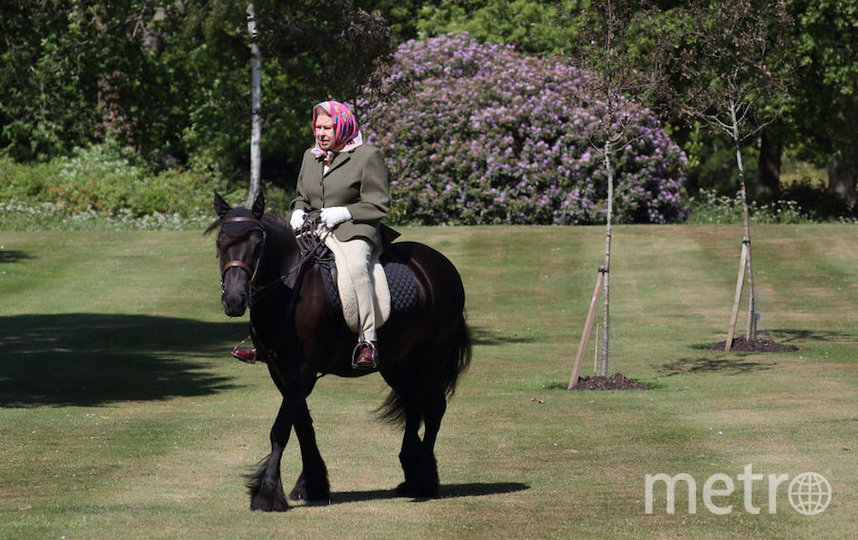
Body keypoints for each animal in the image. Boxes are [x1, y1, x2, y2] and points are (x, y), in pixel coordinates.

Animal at [210, 193, 472, 510]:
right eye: (220, 243)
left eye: (258, 245)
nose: (235, 300)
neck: (290, 289)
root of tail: (440, 264)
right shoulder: (280, 370)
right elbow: (302, 425)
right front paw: (312, 485)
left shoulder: (303, 370)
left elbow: (281, 427)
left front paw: (267, 492)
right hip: (396, 362)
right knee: (414, 404)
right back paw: (411, 473)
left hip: (432, 356)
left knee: (434, 408)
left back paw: (424, 480)